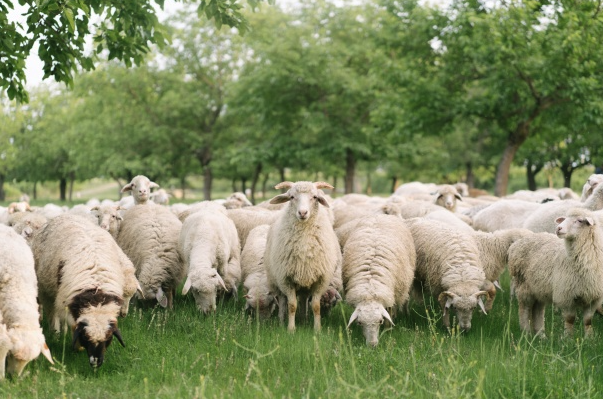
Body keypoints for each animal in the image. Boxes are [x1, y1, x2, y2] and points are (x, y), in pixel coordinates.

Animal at [266, 180, 344, 332]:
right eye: (291, 197)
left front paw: (317, 329)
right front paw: (291, 329)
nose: (303, 212)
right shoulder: (286, 278)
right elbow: (291, 305)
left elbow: (316, 306)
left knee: (303, 299)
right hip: (277, 279)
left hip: (305, 281)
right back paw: (281, 320)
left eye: (315, 197)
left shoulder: (321, 279)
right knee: (283, 300)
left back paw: (304, 319)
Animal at [342, 216, 418, 346]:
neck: (370, 288)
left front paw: (388, 329)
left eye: (380, 321)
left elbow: (390, 311)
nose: (372, 345)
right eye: (360, 323)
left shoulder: (392, 293)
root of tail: (381, 215)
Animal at [510, 208, 603, 340]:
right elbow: (570, 319)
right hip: (524, 285)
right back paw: (526, 333)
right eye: (564, 219)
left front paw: (589, 339)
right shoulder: (566, 294)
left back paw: (541, 335)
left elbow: (588, 320)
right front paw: (568, 339)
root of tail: (516, 244)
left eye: (580, 220)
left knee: (538, 309)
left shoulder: (594, 297)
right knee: (525, 308)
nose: (558, 228)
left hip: (538, 288)